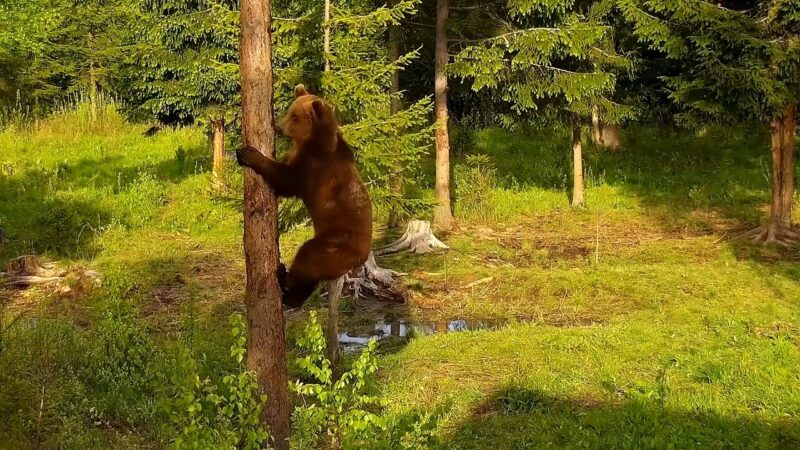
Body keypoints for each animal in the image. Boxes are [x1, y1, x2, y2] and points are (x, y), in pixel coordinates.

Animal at [236, 84, 374, 308]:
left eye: (295, 116)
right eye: (290, 111)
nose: (278, 127)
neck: (312, 142)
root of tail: (360, 259)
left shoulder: (314, 169)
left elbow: (285, 180)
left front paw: (249, 153)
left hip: (333, 245)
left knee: (307, 258)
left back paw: (283, 275)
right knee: (312, 276)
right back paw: (291, 297)